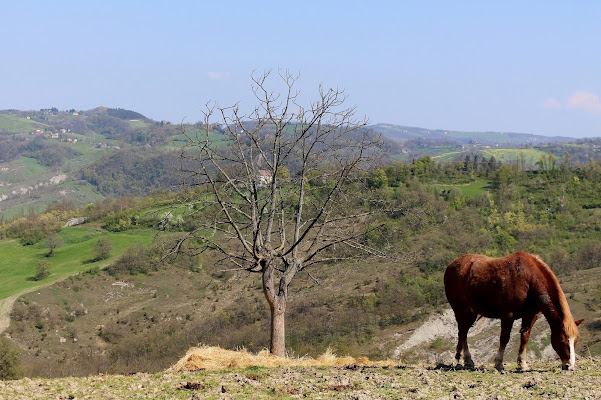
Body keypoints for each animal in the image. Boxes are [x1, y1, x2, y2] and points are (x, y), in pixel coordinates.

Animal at [446, 252, 580, 370]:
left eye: (575, 341)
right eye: (562, 340)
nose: (570, 366)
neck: (529, 279)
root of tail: (452, 265)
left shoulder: (531, 315)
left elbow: (525, 336)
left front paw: (522, 364)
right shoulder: (508, 315)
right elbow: (504, 338)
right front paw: (499, 363)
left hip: (472, 312)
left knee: (462, 332)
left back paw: (459, 358)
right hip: (459, 309)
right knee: (463, 331)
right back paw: (468, 360)